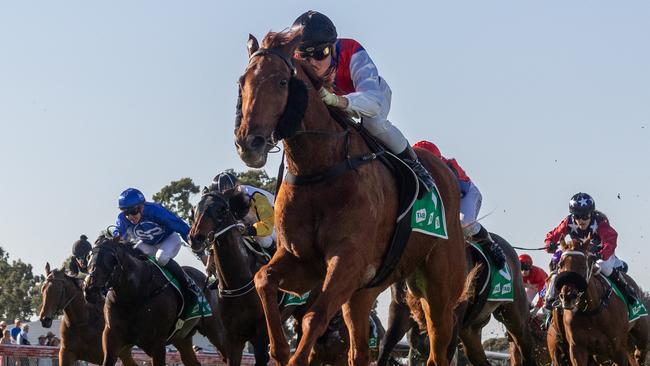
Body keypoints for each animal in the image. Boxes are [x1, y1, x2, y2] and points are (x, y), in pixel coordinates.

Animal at [83, 236, 227, 364]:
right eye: (89, 257)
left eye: (110, 259)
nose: (89, 290)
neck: (134, 295)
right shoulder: (112, 336)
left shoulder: (157, 343)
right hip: (182, 338)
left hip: (215, 331)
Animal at [233, 30, 466, 366]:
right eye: (243, 81)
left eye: (281, 82)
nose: (248, 143)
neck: (320, 168)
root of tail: (446, 172)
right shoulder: (301, 260)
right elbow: (263, 279)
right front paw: (279, 351)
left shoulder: (348, 261)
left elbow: (313, 317)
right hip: (363, 293)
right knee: (360, 351)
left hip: (439, 291)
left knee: (437, 348)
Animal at [378, 234, 536, 366]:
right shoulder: (400, 309)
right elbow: (386, 345)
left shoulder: (449, 319)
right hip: (470, 331)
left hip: (515, 316)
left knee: (525, 347)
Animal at [552, 237, 648, 366]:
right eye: (560, 265)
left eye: (583, 265)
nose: (568, 296)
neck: (591, 311)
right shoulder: (577, 349)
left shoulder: (618, 349)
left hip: (641, 335)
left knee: (639, 353)